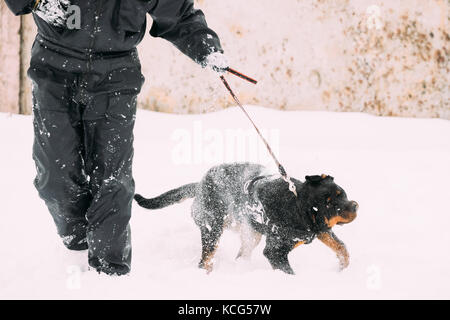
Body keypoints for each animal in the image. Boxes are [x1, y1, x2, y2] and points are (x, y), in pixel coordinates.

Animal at [134, 164, 358, 274]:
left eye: (341, 193)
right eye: (330, 205)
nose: (355, 206)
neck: (297, 203)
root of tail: (200, 184)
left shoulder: (321, 230)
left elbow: (342, 248)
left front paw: (341, 268)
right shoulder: (275, 251)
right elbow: (287, 271)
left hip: (251, 232)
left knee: (241, 255)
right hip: (212, 227)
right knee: (205, 258)